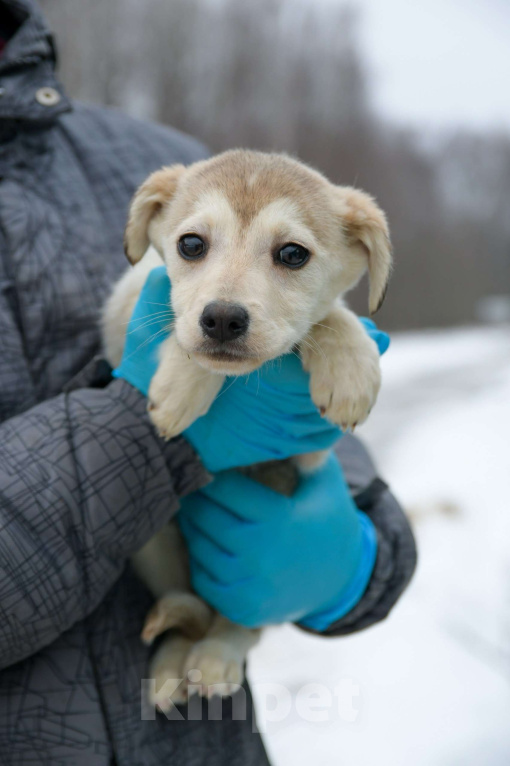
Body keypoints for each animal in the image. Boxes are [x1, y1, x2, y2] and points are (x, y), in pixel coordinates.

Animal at [102, 152, 390, 712]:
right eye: (191, 244)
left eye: (293, 254)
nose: (220, 319)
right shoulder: (126, 302)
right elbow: (171, 323)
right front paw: (180, 384)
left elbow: (328, 317)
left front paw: (350, 367)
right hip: (153, 545)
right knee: (185, 609)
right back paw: (170, 669)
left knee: (240, 620)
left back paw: (216, 657)